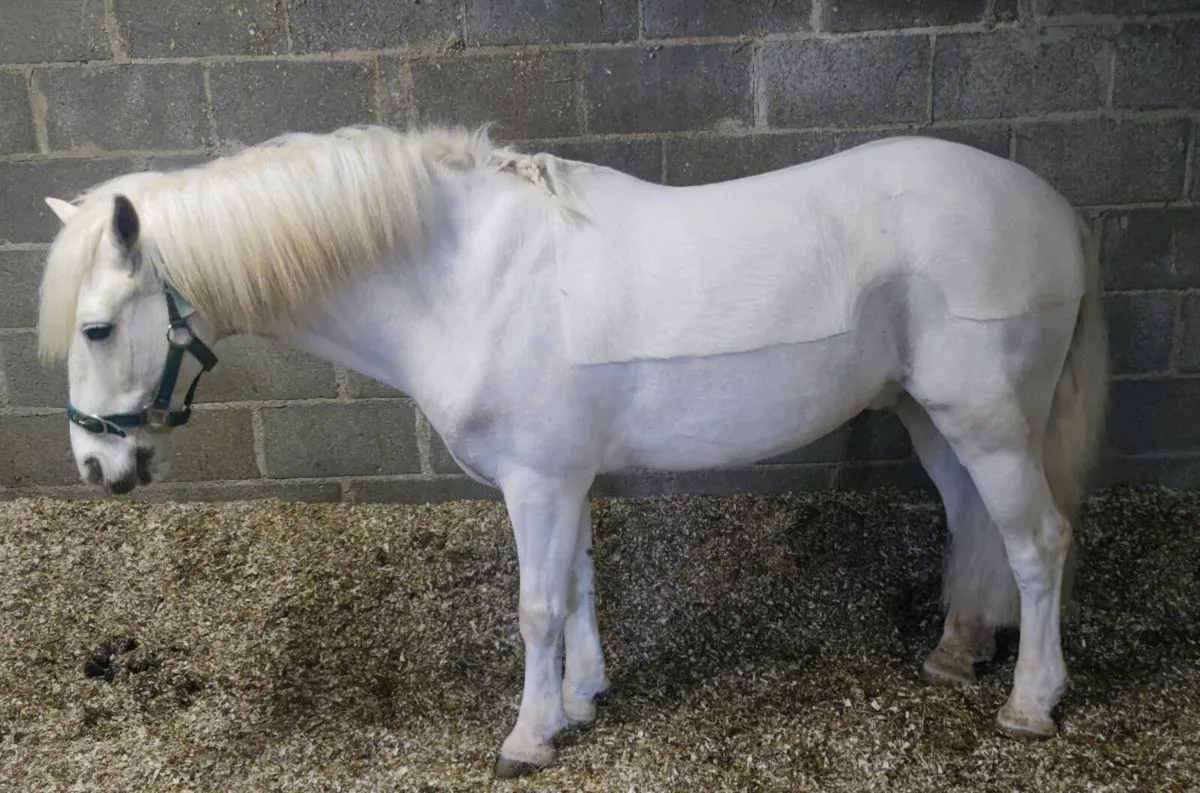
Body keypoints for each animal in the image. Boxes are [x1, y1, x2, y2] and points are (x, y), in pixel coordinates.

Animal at [35, 123, 1108, 778]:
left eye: (96, 327)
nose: (94, 467)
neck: (465, 276)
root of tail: (1057, 212)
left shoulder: (538, 482)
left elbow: (538, 606)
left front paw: (528, 734)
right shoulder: (566, 478)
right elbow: (583, 583)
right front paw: (583, 699)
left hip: (987, 420)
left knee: (1038, 544)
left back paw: (1030, 702)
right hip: (936, 418)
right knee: (976, 529)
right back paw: (957, 652)